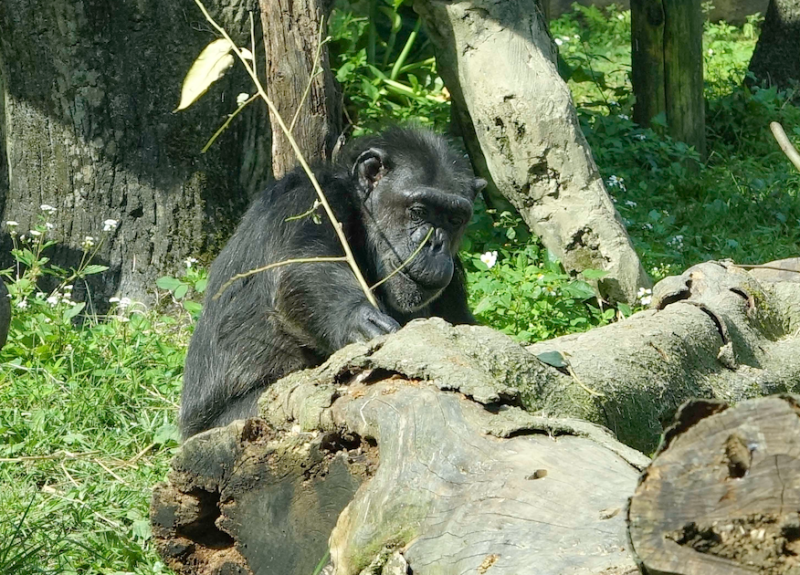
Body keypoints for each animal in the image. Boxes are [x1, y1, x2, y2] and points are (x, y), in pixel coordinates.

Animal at [178, 128, 484, 438]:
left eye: (454, 219)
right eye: (419, 211)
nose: (435, 243)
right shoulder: (313, 200)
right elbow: (306, 265)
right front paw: (359, 319)